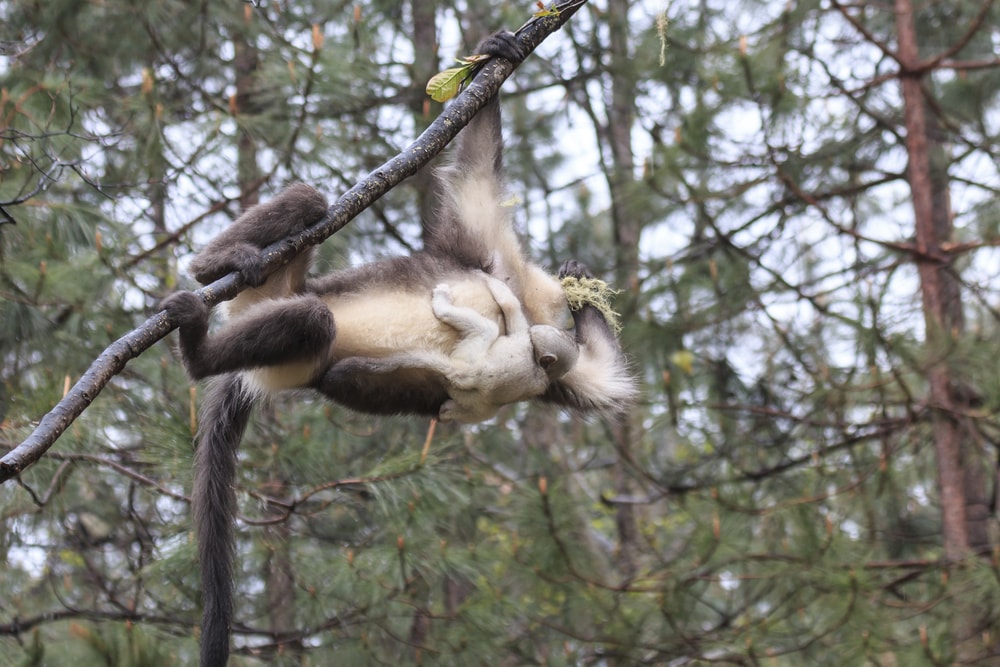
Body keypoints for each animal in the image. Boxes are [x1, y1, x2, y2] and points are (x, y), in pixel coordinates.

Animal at [161, 31, 635, 666]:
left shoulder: (533, 339)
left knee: (313, 325)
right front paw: (496, 53)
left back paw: (198, 352)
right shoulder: (487, 257)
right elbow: (477, 167)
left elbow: (602, 382)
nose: (545, 341)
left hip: (288, 344)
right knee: (310, 208)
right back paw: (216, 265)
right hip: (276, 284)